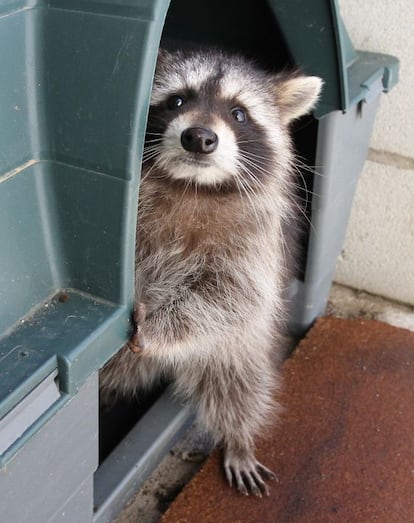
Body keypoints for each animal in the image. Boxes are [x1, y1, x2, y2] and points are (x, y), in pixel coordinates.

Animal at [99, 48, 320, 496]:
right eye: (177, 100)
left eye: (239, 113)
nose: (199, 138)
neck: (191, 184)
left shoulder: (257, 244)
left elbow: (234, 295)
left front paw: (159, 327)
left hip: (236, 347)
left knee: (238, 385)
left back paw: (238, 438)